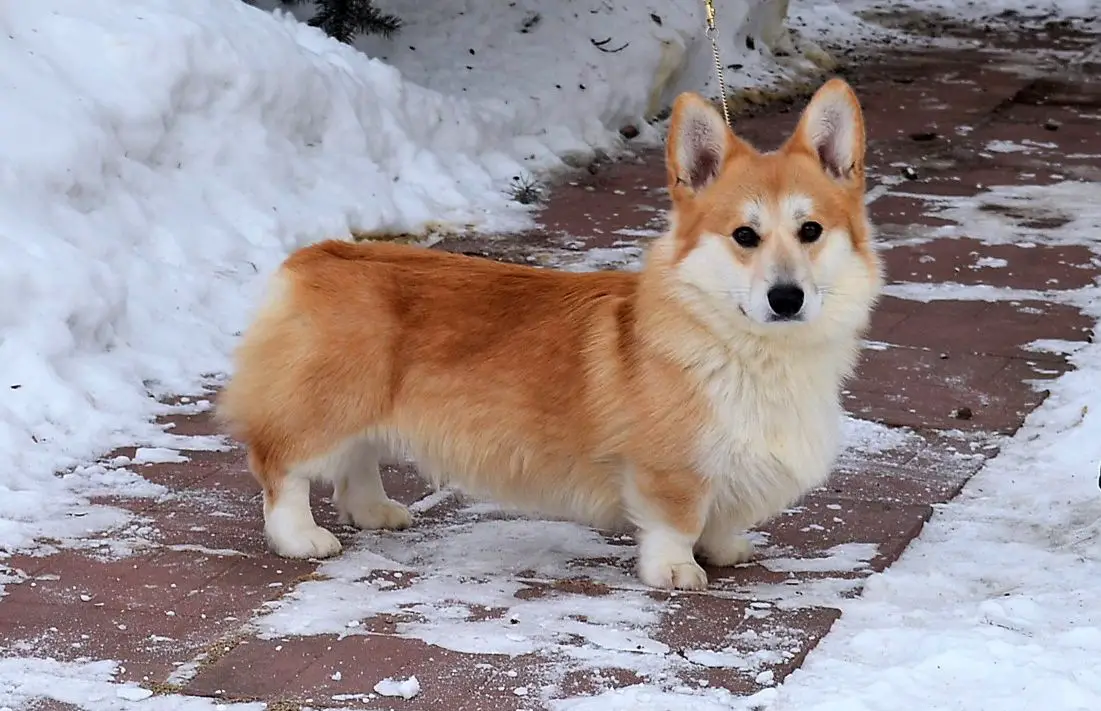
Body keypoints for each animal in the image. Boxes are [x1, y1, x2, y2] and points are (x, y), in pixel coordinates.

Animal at [216, 76, 885, 589]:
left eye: (810, 230)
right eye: (745, 236)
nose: (786, 298)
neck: (749, 346)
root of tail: (314, 257)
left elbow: (721, 519)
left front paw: (725, 550)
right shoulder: (671, 469)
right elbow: (678, 522)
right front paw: (677, 571)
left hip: (365, 406)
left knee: (357, 459)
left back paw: (375, 511)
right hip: (328, 404)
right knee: (280, 465)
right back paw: (301, 537)